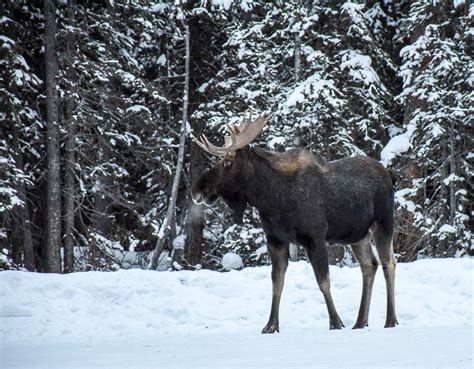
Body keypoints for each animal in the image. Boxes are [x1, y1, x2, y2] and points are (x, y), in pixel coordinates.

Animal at [191, 110, 398, 332]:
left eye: (228, 161)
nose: (197, 189)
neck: (271, 199)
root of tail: (390, 175)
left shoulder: (314, 237)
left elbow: (323, 281)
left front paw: (335, 322)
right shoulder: (275, 239)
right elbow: (277, 282)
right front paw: (271, 325)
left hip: (383, 222)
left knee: (389, 263)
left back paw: (390, 320)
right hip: (357, 235)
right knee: (369, 265)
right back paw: (360, 322)